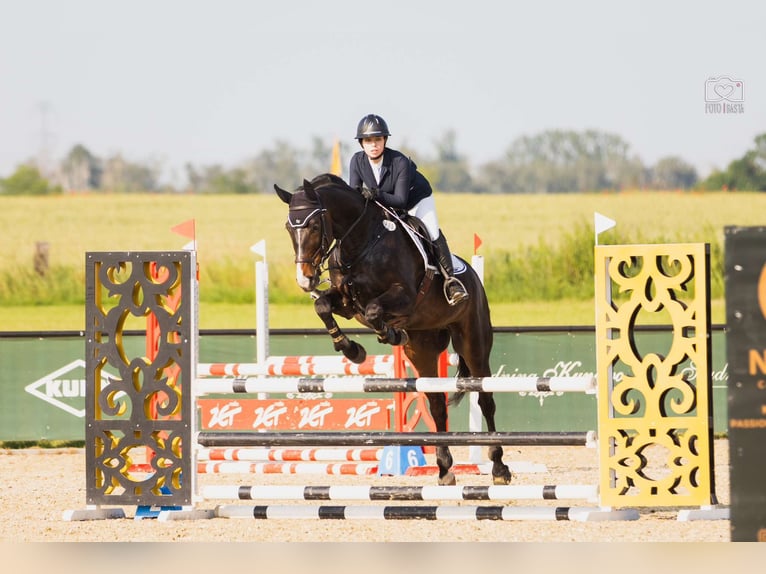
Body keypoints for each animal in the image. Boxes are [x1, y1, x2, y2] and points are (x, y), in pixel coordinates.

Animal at [272, 174, 512, 486]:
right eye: (289, 227)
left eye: (313, 225)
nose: (305, 279)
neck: (360, 243)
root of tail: (473, 276)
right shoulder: (346, 304)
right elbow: (322, 306)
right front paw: (352, 349)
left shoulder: (403, 296)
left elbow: (374, 310)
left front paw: (389, 334)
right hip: (422, 350)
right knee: (436, 404)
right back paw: (445, 469)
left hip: (473, 342)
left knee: (485, 398)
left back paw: (498, 468)